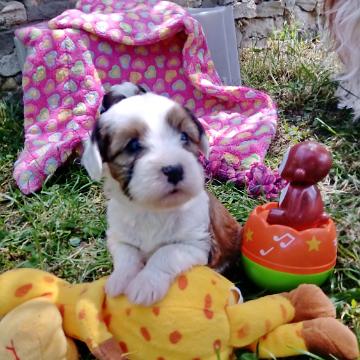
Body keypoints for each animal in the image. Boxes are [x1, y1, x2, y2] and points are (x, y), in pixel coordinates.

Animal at [83, 83, 242, 306]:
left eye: (184, 137)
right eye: (133, 145)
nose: (174, 170)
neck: (153, 210)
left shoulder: (196, 244)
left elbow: (165, 253)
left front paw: (145, 285)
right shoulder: (118, 236)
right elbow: (126, 255)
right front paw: (119, 280)